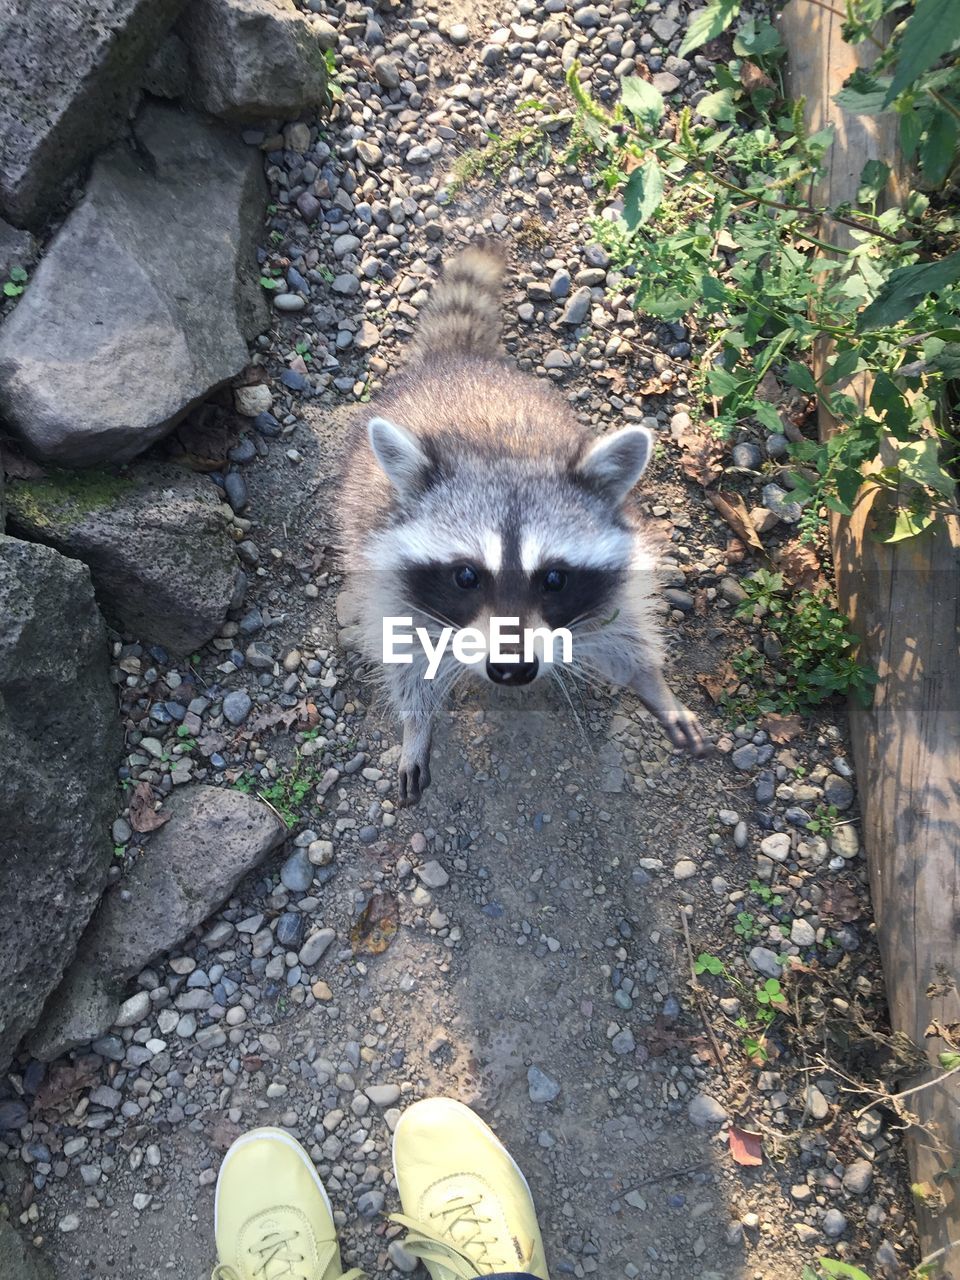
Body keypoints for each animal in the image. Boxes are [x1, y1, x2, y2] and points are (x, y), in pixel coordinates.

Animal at [335, 244, 706, 803]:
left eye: (554, 578)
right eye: (466, 575)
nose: (510, 671)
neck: (501, 456)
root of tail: (457, 362)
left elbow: (624, 629)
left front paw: (652, 681)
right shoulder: (387, 576)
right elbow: (403, 650)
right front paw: (415, 723)